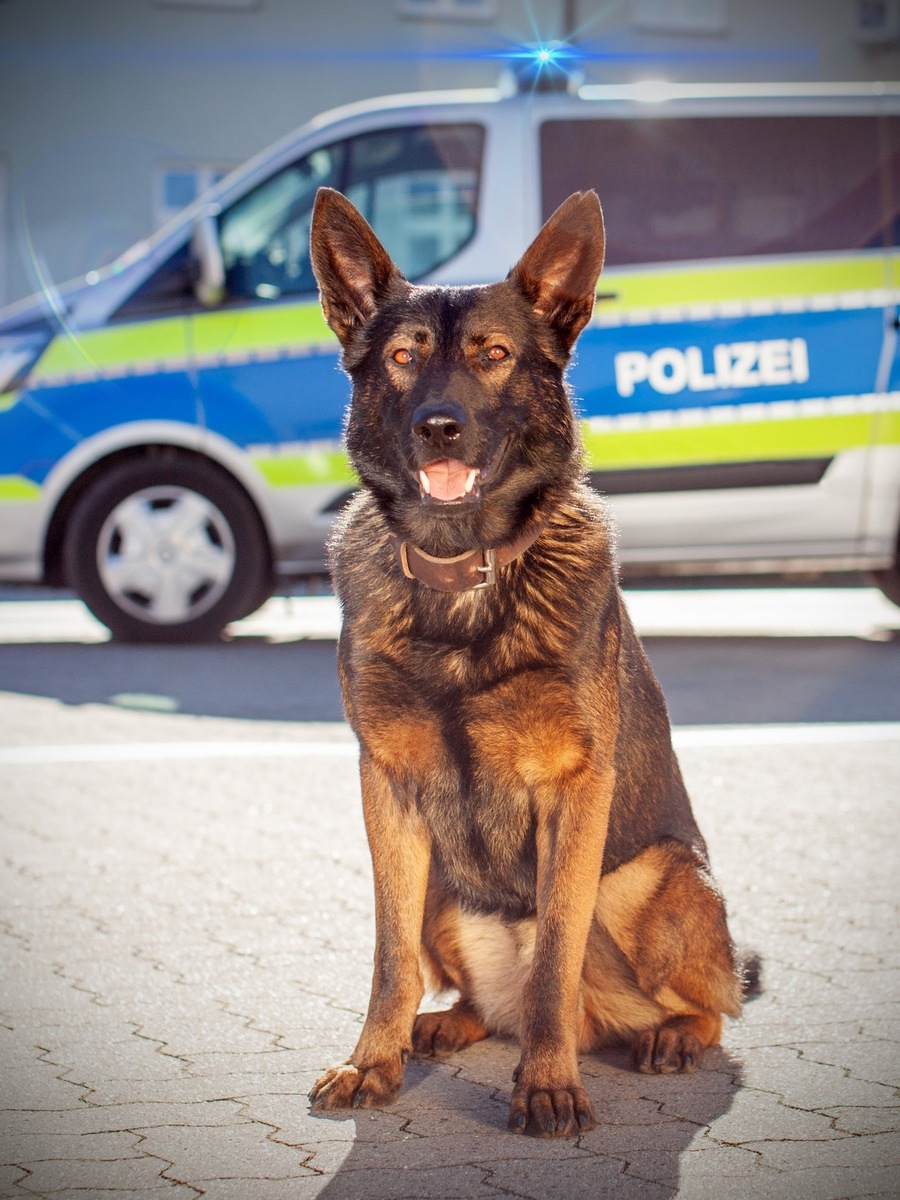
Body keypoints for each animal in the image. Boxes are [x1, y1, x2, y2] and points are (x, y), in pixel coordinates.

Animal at [309, 184, 748, 1132]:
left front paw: (547, 1084)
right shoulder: (386, 786)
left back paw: (667, 1038)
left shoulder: (576, 788)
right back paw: (446, 1024)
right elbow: (389, 958)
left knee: (705, 1005)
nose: (440, 427)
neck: (461, 571)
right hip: (443, 884)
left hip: (657, 879)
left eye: (495, 355)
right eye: (403, 356)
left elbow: (554, 955)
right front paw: (372, 1061)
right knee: (473, 995)